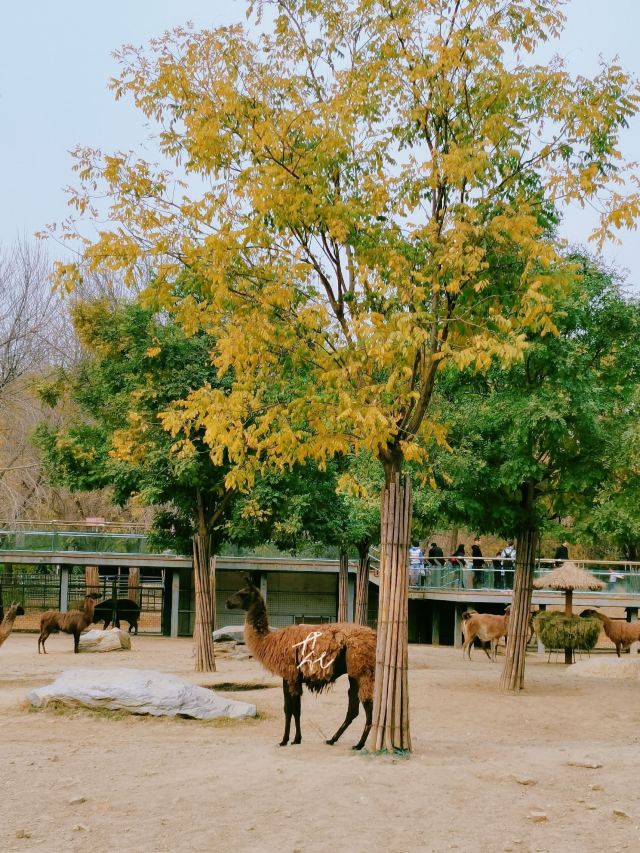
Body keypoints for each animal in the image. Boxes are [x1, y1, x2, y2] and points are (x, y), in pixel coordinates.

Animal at [226, 576, 372, 748]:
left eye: (243, 593)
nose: (227, 602)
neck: (269, 640)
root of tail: (373, 636)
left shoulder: (290, 675)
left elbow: (290, 709)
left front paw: (286, 740)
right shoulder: (292, 677)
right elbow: (295, 710)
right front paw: (295, 739)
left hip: (362, 671)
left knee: (367, 705)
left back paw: (359, 744)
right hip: (354, 674)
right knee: (354, 709)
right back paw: (333, 739)